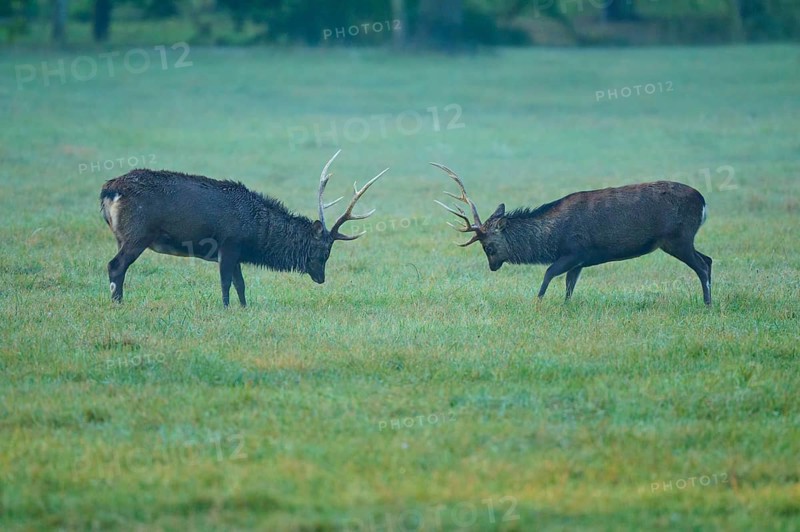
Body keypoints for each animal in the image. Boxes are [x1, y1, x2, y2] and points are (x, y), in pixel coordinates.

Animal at [100, 150, 387, 306]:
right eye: (324, 251)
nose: (321, 278)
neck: (256, 234)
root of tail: (109, 190)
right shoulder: (228, 244)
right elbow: (226, 282)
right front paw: (226, 308)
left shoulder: (236, 252)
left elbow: (241, 284)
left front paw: (244, 307)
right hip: (137, 234)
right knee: (115, 265)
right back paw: (118, 303)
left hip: (121, 236)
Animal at [432, 163, 712, 305]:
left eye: (488, 247)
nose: (492, 266)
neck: (552, 238)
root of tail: (703, 202)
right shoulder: (579, 261)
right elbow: (569, 285)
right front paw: (565, 307)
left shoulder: (575, 251)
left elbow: (548, 274)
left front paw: (538, 302)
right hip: (682, 239)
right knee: (708, 259)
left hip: (677, 237)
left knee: (701, 266)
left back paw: (707, 303)